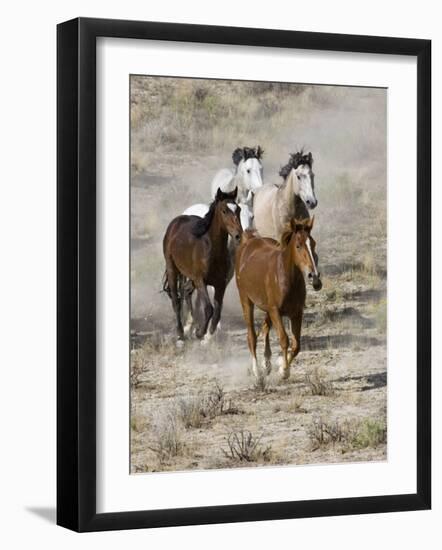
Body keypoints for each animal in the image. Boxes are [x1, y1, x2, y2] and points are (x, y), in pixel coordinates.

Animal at [162, 191, 242, 344]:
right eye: (224, 210)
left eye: (238, 209)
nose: (238, 235)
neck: (211, 249)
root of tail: (176, 222)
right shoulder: (200, 281)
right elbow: (209, 308)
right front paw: (200, 333)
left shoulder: (220, 284)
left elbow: (217, 311)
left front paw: (207, 337)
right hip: (172, 269)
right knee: (176, 301)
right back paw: (181, 335)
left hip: (189, 277)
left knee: (186, 291)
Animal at [235, 218, 322, 382]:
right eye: (298, 245)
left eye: (313, 243)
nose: (314, 278)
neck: (286, 277)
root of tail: (249, 241)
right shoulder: (275, 311)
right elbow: (284, 339)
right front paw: (284, 371)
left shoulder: (296, 313)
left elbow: (296, 344)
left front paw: (280, 365)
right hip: (246, 301)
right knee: (252, 336)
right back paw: (257, 372)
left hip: (267, 308)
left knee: (264, 329)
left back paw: (266, 364)